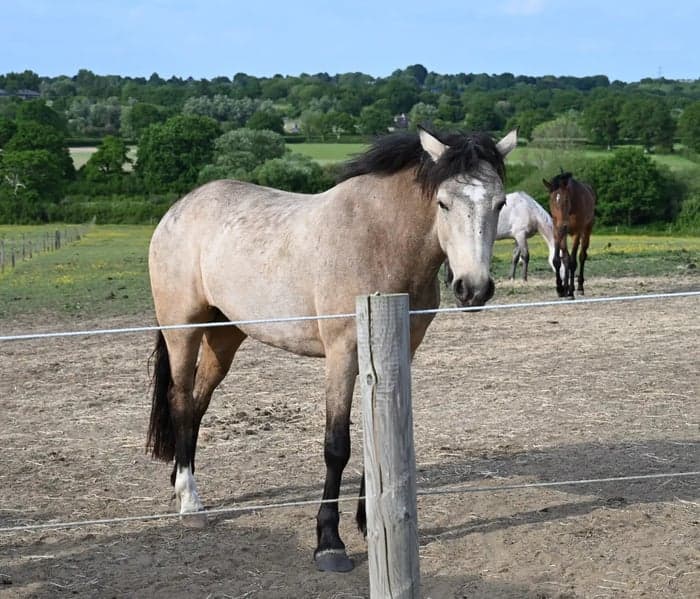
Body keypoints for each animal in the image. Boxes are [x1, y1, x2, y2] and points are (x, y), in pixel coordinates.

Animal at [146, 126, 517, 573]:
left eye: (499, 203)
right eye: (443, 203)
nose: (473, 289)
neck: (379, 239)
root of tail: (178, 210)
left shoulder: (399, 355)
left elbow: (378, 434)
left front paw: (371, 521)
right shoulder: (342, 356)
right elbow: (336, 446)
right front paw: (329, 542)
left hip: (225, 335)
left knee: (198, 403)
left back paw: (179, 483)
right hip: (182, 330)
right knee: (181, 400)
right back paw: (190, 502)